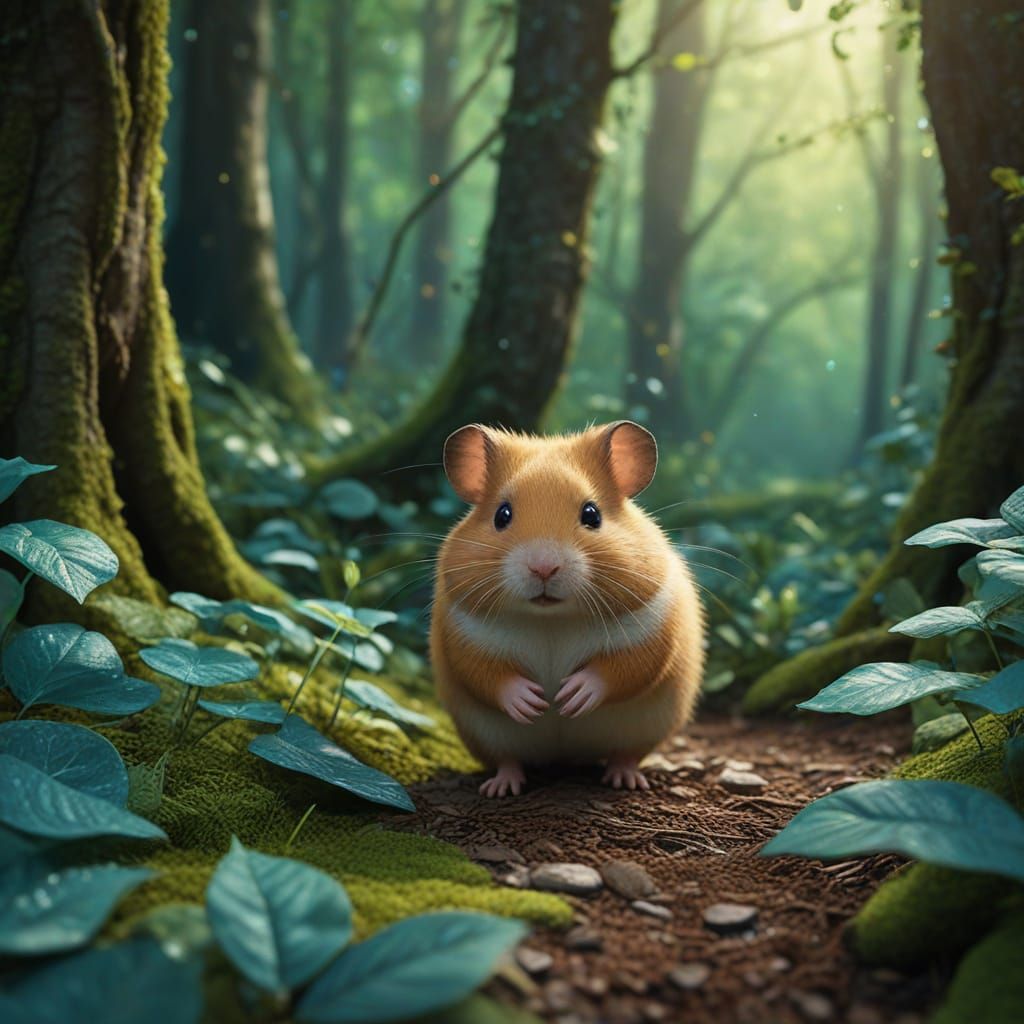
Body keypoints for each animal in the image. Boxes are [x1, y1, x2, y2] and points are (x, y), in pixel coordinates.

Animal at [430, 420, 705, 797]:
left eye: (592, 515)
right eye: (502, 515)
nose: (544, 568)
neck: (552, 620)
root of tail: (565, 758)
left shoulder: (653, 629)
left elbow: (623, 669)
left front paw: (570, 698)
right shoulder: (463, 633)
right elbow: (487, 675)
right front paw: (534, 703)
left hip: (646, 728)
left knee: (626, 754)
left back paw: (625, 779)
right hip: (485, 736)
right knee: (507, 759)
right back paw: (501, 787)